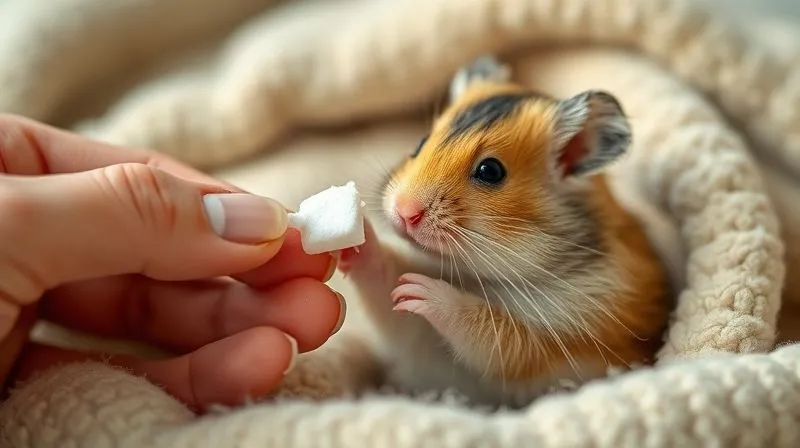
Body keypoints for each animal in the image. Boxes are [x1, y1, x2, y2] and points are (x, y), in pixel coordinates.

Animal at [338, 56, 672, 408]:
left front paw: (420, 290)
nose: (404, 211)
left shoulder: (559, 332)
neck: (480, 274)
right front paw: (361, 242)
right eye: (420, 142)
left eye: (491, 171)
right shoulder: (422, 342)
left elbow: (492, 330)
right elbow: (388, 289)